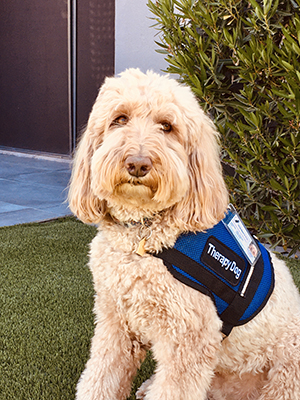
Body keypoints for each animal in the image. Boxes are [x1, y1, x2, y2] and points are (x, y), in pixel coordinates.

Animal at [69, 67, 300, 398]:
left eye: (167, 126)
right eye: (120, 119)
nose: (137, 164)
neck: (142, 236)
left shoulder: (189, 340)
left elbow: (172, 389)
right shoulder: (115, 323)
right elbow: (101, 377)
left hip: (288, 365)